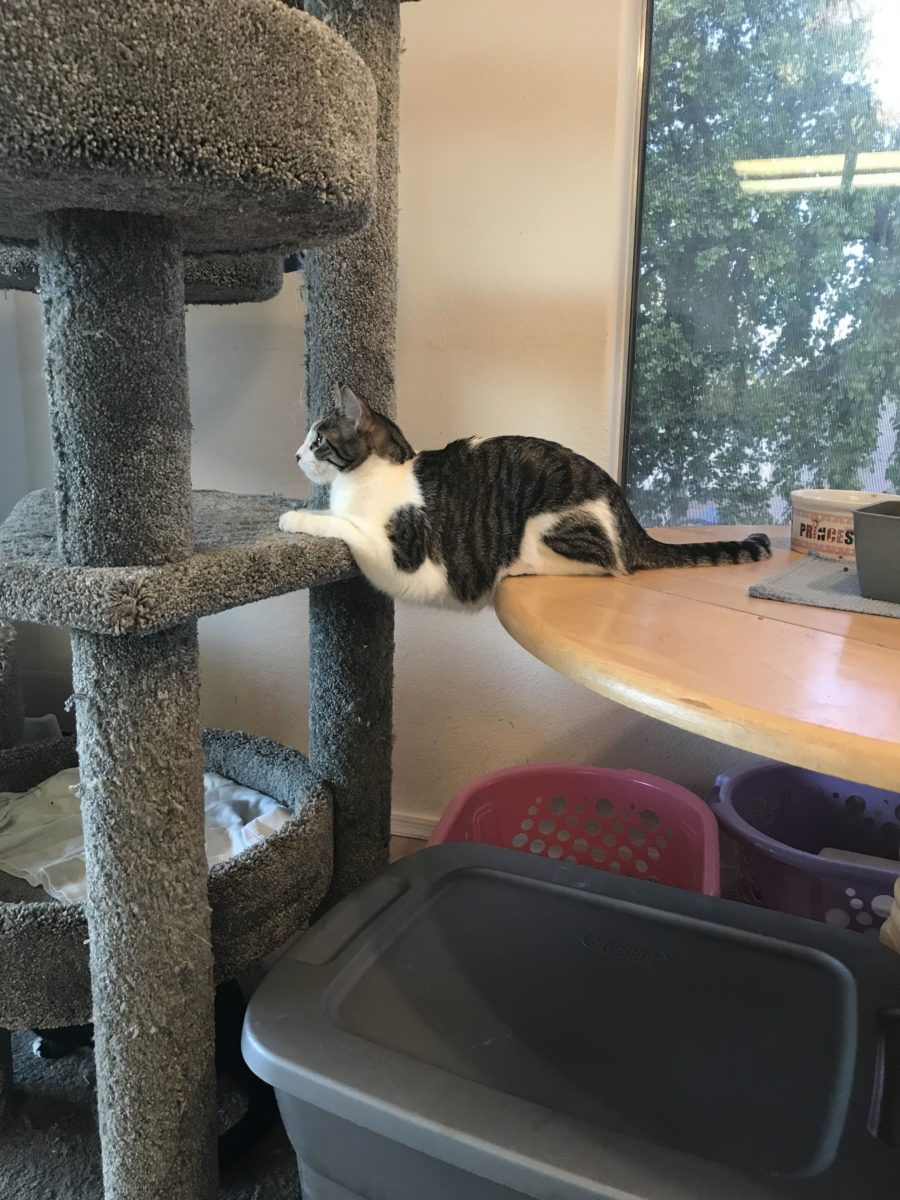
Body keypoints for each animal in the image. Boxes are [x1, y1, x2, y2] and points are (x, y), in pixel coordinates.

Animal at [278, 386, 772, 609]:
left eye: (318, 440)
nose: (295, 454)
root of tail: (629, 519)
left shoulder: (400, 556)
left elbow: (341, 524)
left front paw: (293, 518)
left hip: (550, 523)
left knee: (607, 565)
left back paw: (517, 568)